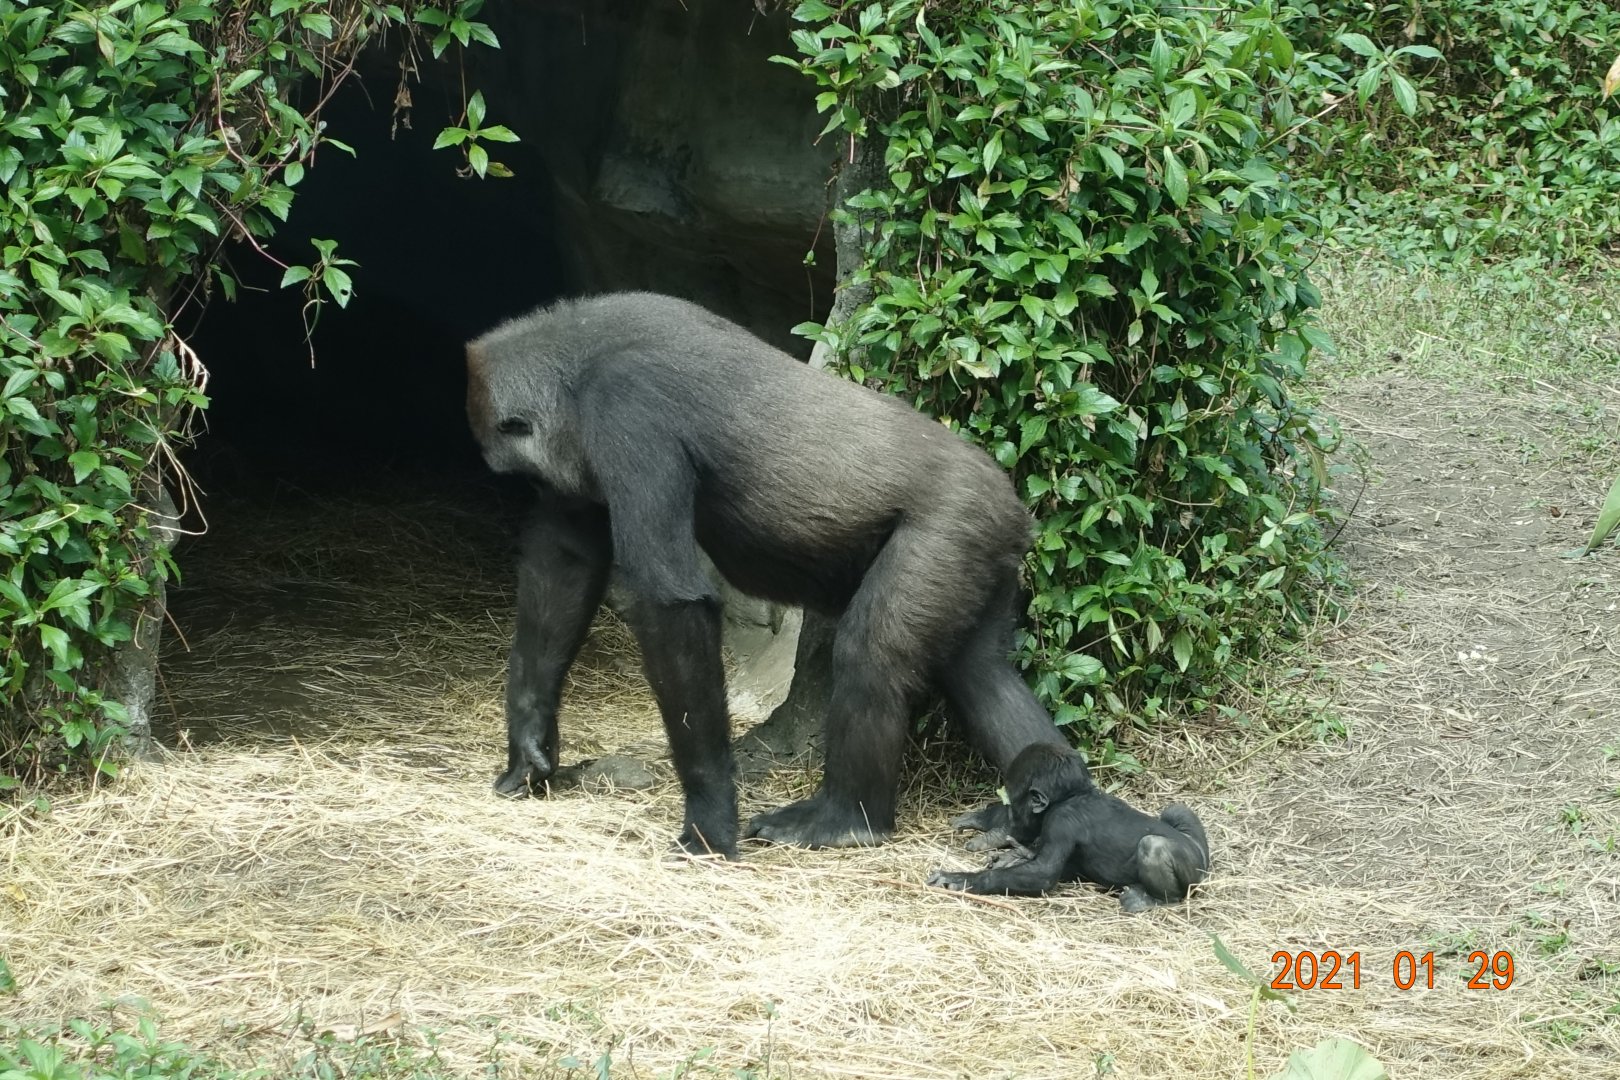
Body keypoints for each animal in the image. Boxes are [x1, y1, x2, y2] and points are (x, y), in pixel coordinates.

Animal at [464, 291, 1071, 859]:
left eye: (526, 476)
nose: (545, 491)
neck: (579, 361)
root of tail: (1016, 508)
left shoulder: (627, 409)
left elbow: (671, 605)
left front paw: (709, 816)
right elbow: (566, 562)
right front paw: (529, 735)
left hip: (952, 523)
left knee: (874, 653)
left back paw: (847, 819)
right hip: (983, 548)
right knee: (982, 674)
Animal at [928, 744, 1209, 912]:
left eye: (1014, 802)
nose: (1009, 814)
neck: (1071, 796)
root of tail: (1206, 869)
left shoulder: (1060, 822)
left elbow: (1044, 872)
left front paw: (959, 879)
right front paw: (1009, 848)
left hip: (1193, 871)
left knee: (1153, 846)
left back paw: (1153, 900)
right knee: (1175, 809)